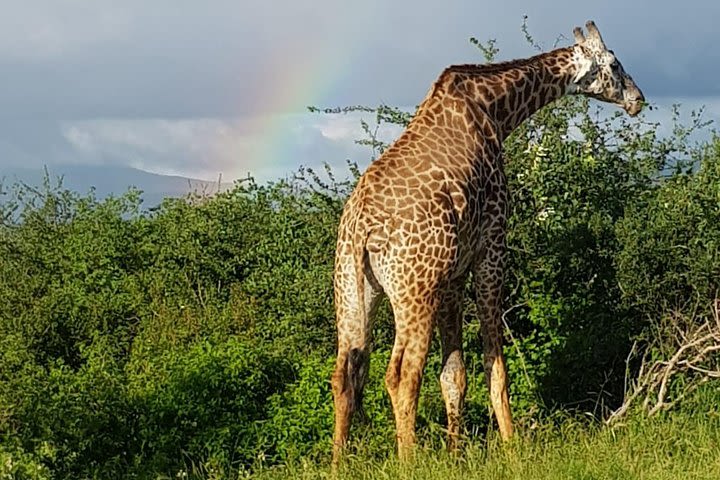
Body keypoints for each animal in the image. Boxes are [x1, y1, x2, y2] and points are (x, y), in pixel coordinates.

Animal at [330, 20, 640, 464]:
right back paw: (410, 460)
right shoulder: (492, 244)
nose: (638, 99)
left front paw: (456, 453)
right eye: (614, 64)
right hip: (414, 290)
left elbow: (454, 373)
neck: (495, 108)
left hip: (353, 291)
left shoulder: (453, 274)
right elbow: (496, 361)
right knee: (401, 374)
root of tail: (361, 228)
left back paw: (337, 463)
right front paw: (512, 447)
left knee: (347, 373)